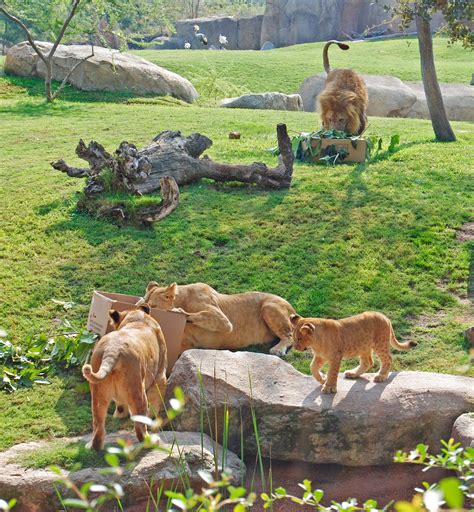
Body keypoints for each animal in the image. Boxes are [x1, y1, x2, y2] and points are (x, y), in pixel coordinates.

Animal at [82, 304, 168, 448]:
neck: (136, 318)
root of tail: (112, 350)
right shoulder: (160, 375)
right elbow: (155, 402)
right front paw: (154, 419)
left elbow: (121, 404)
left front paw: (119, 415)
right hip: (138, 391)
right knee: (140, 427)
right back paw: (152, 441)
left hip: (98, 394)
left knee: (98, 425)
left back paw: (93, 446)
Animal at [143, 280, 294, 356]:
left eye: (153, 306)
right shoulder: (185, 345)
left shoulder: (224, 321)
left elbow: (196, 315)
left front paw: (177, 311)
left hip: (268, 306)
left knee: (290, 336)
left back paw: (278, 349)